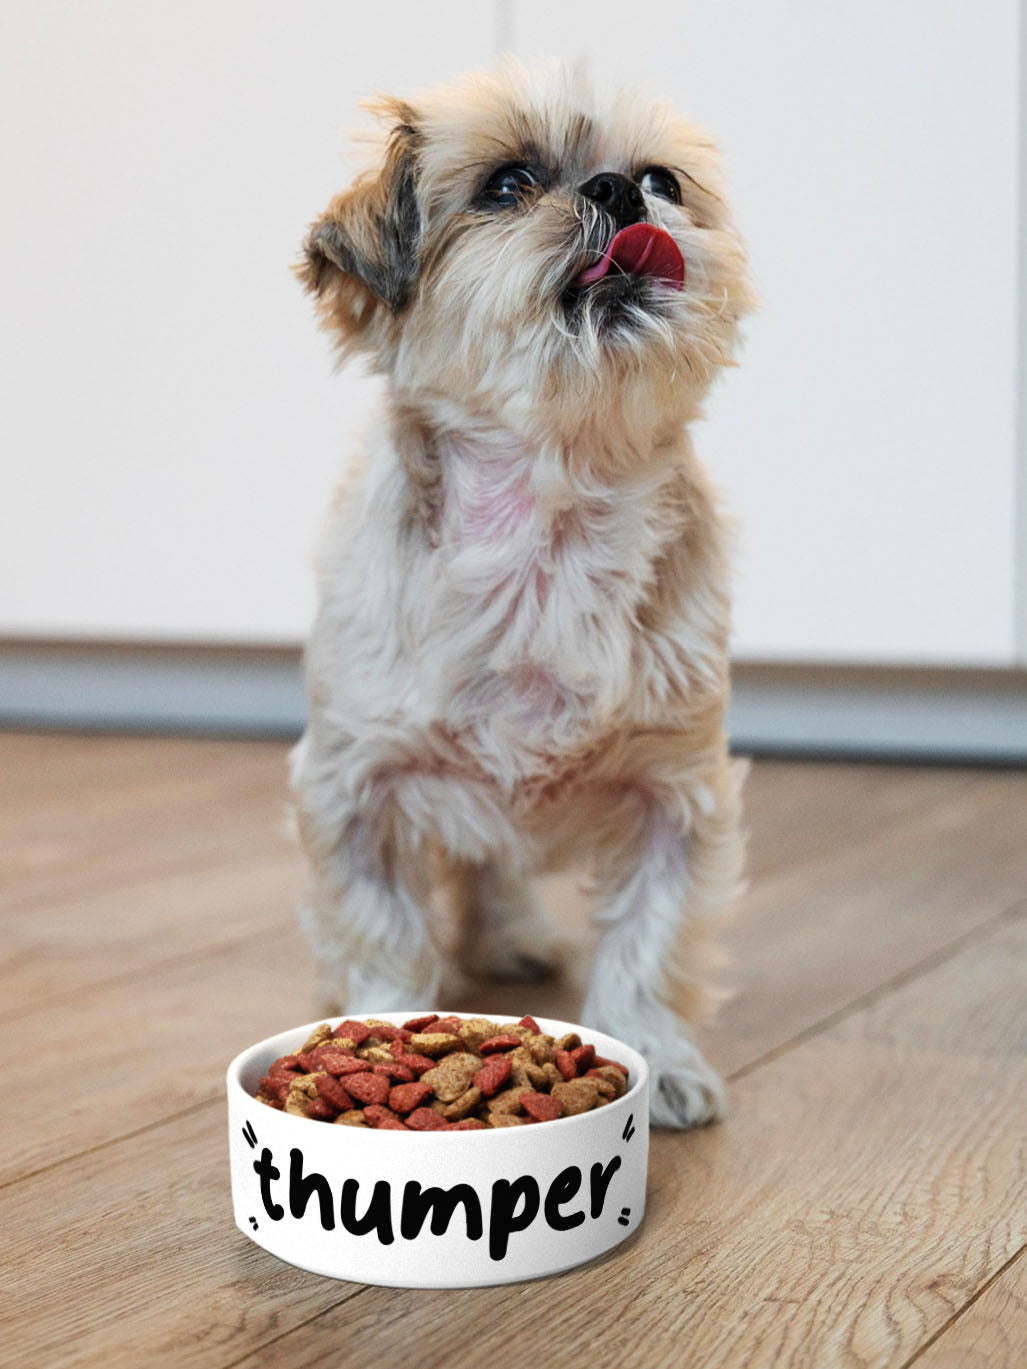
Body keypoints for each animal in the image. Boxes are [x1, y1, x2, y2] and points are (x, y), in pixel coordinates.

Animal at [290, 56, 755, 1122]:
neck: (546, 536)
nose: (619, 192)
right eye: (507, 185)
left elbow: (649, 945)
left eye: (663, 179)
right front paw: (378, 1031)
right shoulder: (356, 787)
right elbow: (383, 929)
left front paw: (658, 1061)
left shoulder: (675, 794)